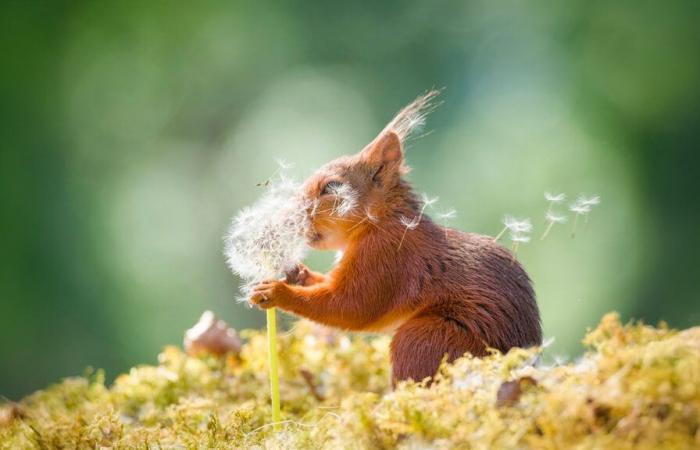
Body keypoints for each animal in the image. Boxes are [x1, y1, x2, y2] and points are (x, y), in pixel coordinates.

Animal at [252, 90, 540, 384]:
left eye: (332, 187)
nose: (289, 216)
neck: (380, 222)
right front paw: (297, 273)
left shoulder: (387, 257)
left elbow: (351, 306)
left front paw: (277, 292)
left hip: (425, 339)